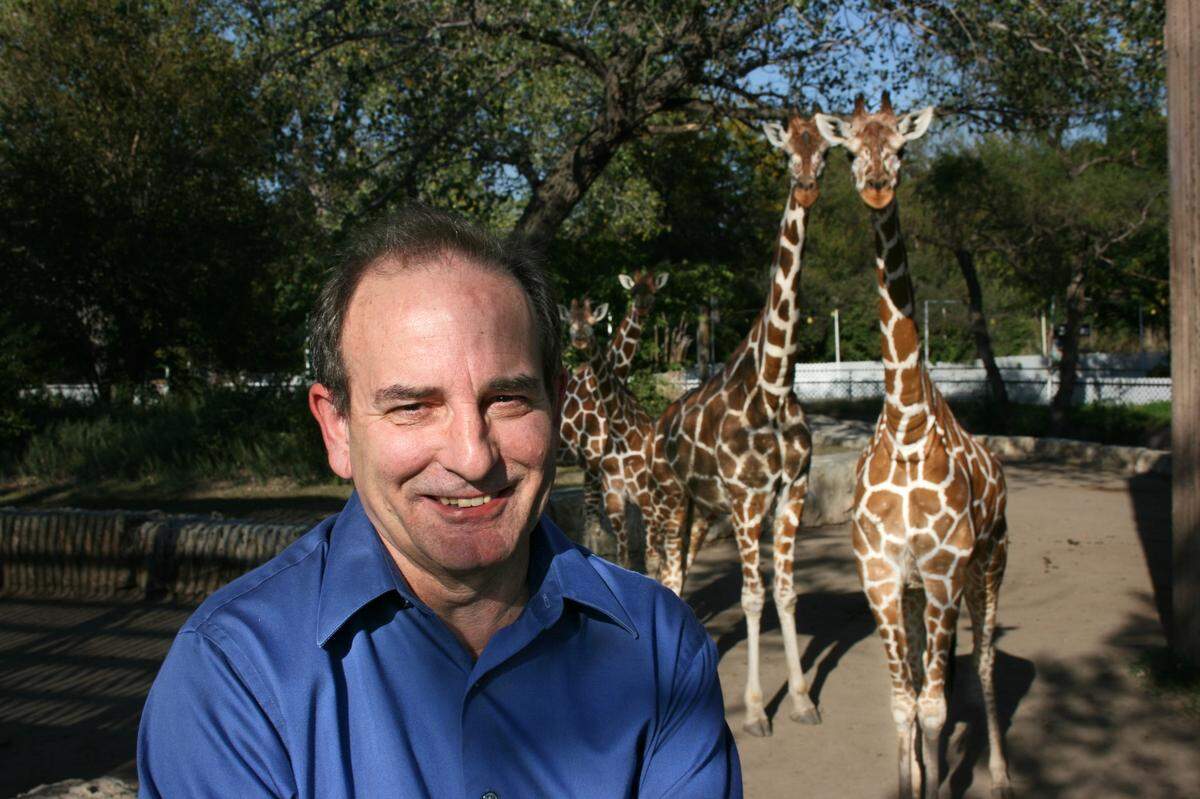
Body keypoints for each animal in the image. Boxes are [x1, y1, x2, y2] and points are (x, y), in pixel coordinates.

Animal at [559, 272, 677, 571]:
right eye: (633, 292)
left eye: (652, 292)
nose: (643, 307)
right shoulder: (592, 459)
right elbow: (591, 522)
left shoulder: (592, 462)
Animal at [655, 113, 829, 735]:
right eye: (787, 153)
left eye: (826, 152)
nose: (807, 187)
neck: (774, 388)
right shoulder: (749, 497)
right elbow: (753, 597)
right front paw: (756, 710)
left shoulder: (792, 489)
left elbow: (787, 594)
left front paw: (802, 700)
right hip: (670, 498)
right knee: (669, 573)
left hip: (705, 509)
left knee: (679, 575)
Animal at [815, 93, 1012, 799]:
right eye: (849, 148)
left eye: (902, 146)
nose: (877, 186)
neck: (905, 425)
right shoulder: (880, 573)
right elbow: (904, 702)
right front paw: (912, 782)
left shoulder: (946, 566)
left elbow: (935, 706)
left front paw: (942, 779)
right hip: (919, 589)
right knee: (936, 666)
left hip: (989, 565)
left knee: (983, 667)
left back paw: (1001, 774)